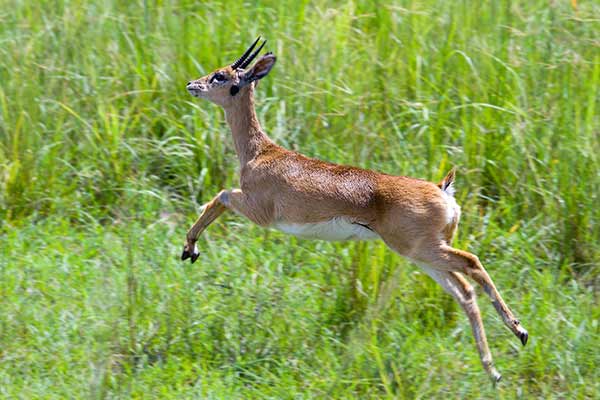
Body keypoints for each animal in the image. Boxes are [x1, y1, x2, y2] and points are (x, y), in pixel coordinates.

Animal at [180, 37, 528, 382]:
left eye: (221, 76)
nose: (192, 84)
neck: (260, 153)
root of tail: (443, 190)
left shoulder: (259, 211)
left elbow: (219, 196)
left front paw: (189, 249)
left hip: (422, 249)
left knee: (472, 263)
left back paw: (519, 333)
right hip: (423, 255)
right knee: (465, 291)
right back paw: (494, 369)